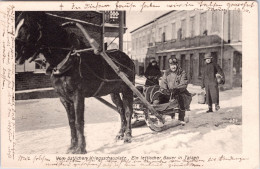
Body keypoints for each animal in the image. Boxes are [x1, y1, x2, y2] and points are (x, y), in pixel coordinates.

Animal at [15, 11, 135, 154]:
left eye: (28, 26)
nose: (15, 52)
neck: (66, 60)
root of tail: (128, 58)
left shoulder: (78, 95)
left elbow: (79, 122)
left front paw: (81, 148)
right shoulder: (64, 98)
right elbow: (71, 122)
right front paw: (72, 146)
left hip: (128, 89)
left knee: (128, 111)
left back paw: (128, 135)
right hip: (114, 92)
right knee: (120, 110)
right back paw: (120, 133)